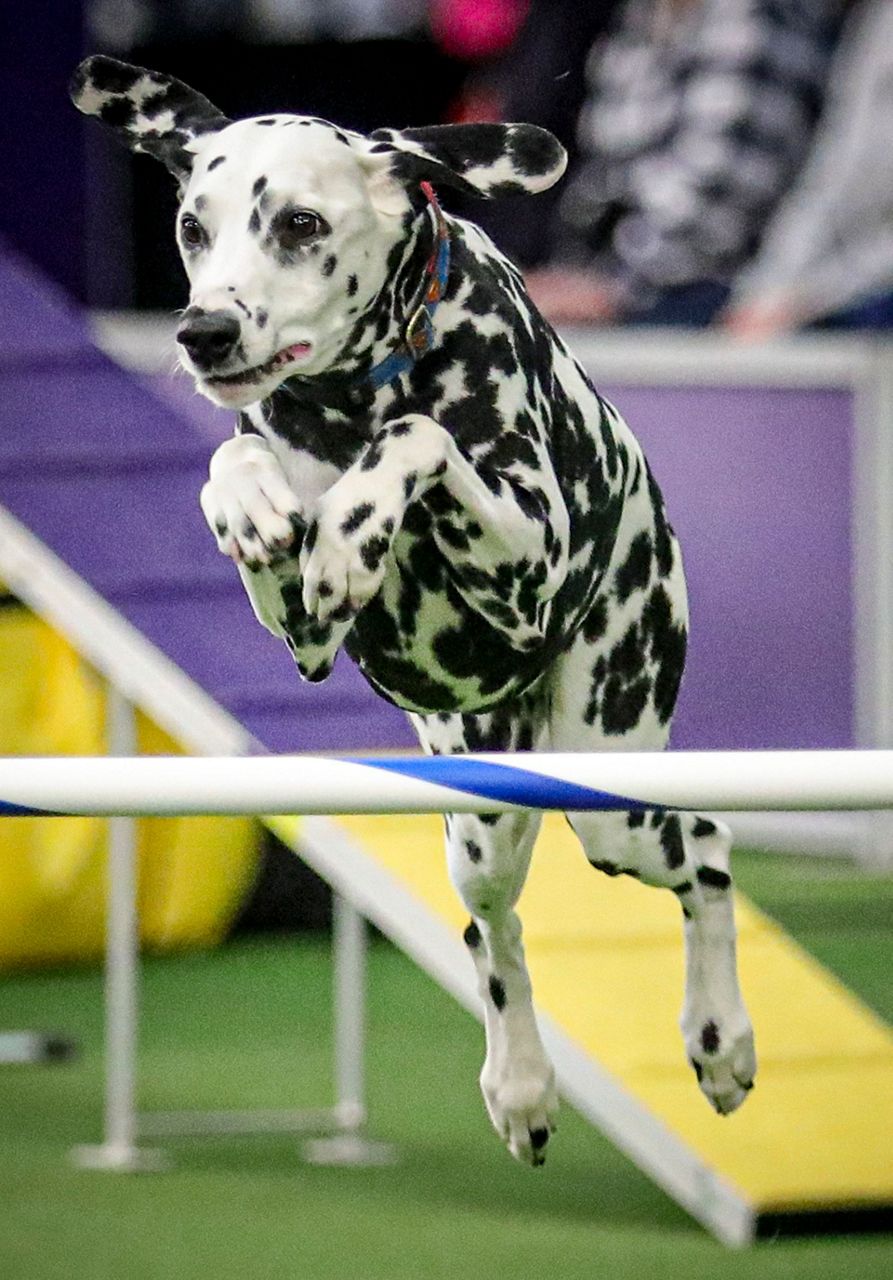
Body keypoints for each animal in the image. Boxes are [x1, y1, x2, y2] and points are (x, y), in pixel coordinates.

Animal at [72, 55, 752, 1167]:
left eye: (300, 223)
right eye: (192, 227)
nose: (203, 332)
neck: (356, 391)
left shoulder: (526, 564)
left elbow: (421, 438)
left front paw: (355, 523)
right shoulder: (305, 636)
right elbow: (238, 469)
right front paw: (255, 503)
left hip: (612, 784)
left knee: (703, 848)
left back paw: (719, 1039)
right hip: (479, 818)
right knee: (493, 930)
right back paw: (520, 1086)